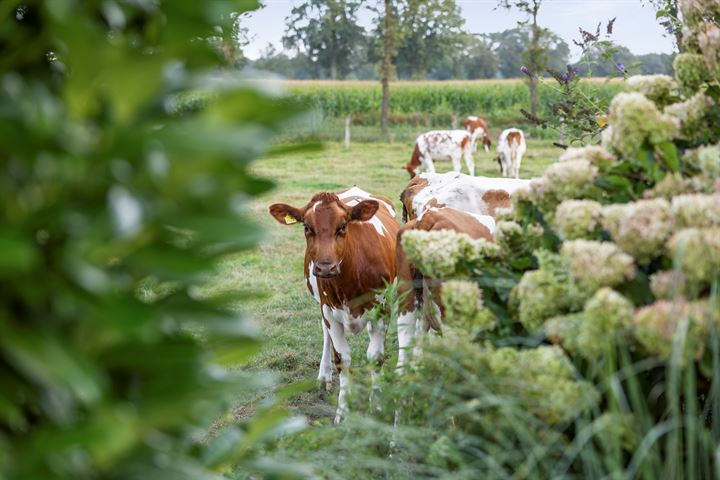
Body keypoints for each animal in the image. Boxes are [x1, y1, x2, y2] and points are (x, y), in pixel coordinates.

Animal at [268, 188, 396, 424]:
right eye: (307, 227)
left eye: (343, 226)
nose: (325, 267)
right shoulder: (330, 312)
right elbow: (342, 359)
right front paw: (342, 411)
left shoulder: (382, 309)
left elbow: (376, 357)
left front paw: (377, 407)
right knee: (325, 334)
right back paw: (323, 375)